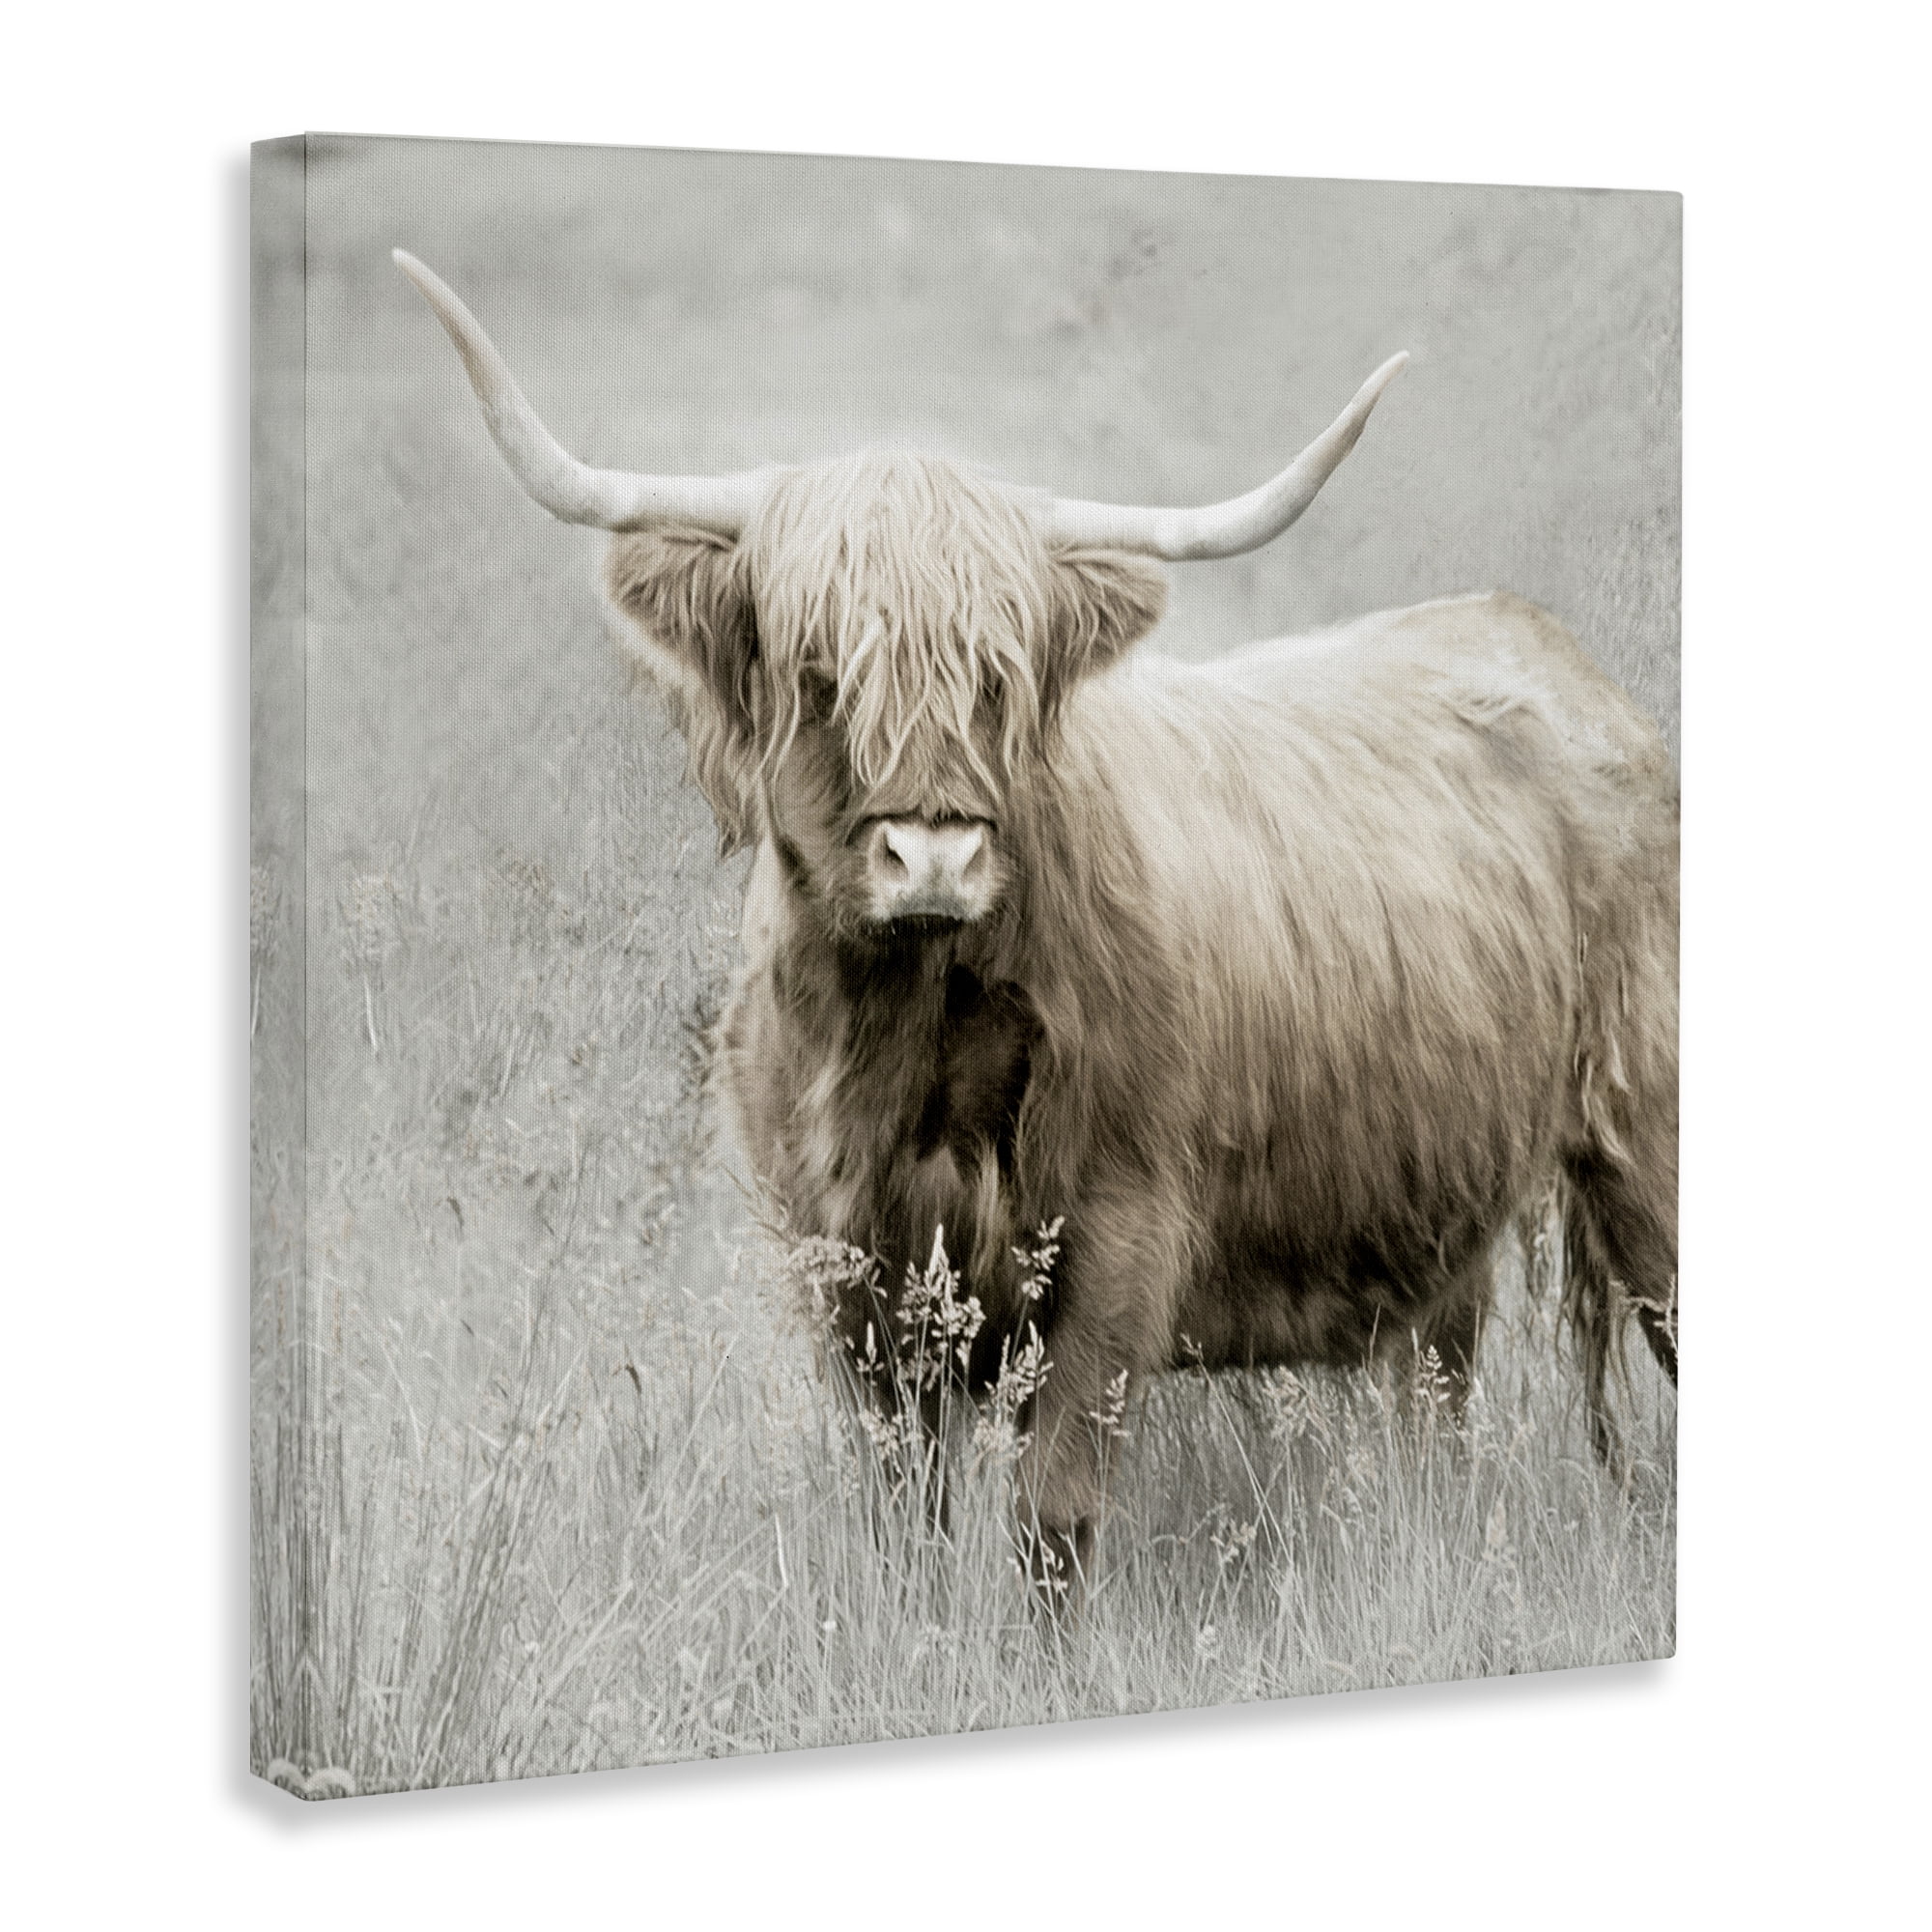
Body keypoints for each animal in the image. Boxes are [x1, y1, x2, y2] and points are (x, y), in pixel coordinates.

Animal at [395, 251, 1679, 1596]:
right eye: (818, 670)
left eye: (996, 675)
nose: (933, 854)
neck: (903, 1040)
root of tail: (1545, 647)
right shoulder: (845, 1276)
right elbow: (897, 1521)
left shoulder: (1116, 1248)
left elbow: (1051, 1521)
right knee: (1438, 1396)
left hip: (1646, 1140)